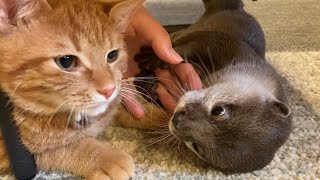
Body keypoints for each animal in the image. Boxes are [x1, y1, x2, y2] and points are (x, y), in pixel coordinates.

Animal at [0, 0, 144, 179]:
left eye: (112, 56)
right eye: (66, 61)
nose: (109, 89)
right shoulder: (16, 157)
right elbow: (61, 150)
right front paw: (106, 158)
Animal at [134, 0, 292, 174]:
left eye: (197, 147)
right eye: (219, 110)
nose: (177, 119)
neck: (243, 61)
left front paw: (148, 86)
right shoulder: (219, 43)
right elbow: (184, 50)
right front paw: (153, 58)